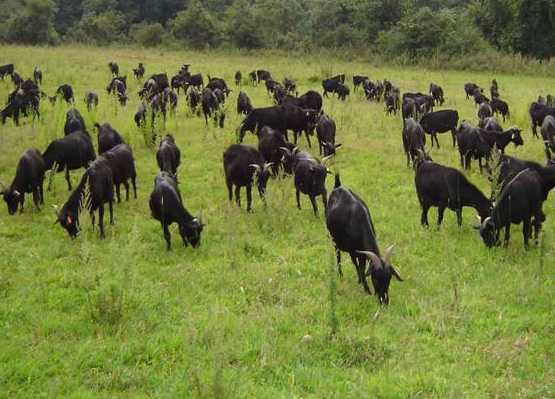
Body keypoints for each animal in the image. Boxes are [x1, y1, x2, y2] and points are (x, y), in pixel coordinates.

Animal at [326, 173, 404, 304]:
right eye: (375, 278)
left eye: (389, 278)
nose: (384, 301)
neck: (359, 222)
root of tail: (338, 186)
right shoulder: (353, 251)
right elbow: (360, 268)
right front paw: (366, 289)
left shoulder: (361, 253)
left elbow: (361, 268)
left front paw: (362, 283)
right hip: (334, 240)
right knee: (339, 256)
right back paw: (341, 275)